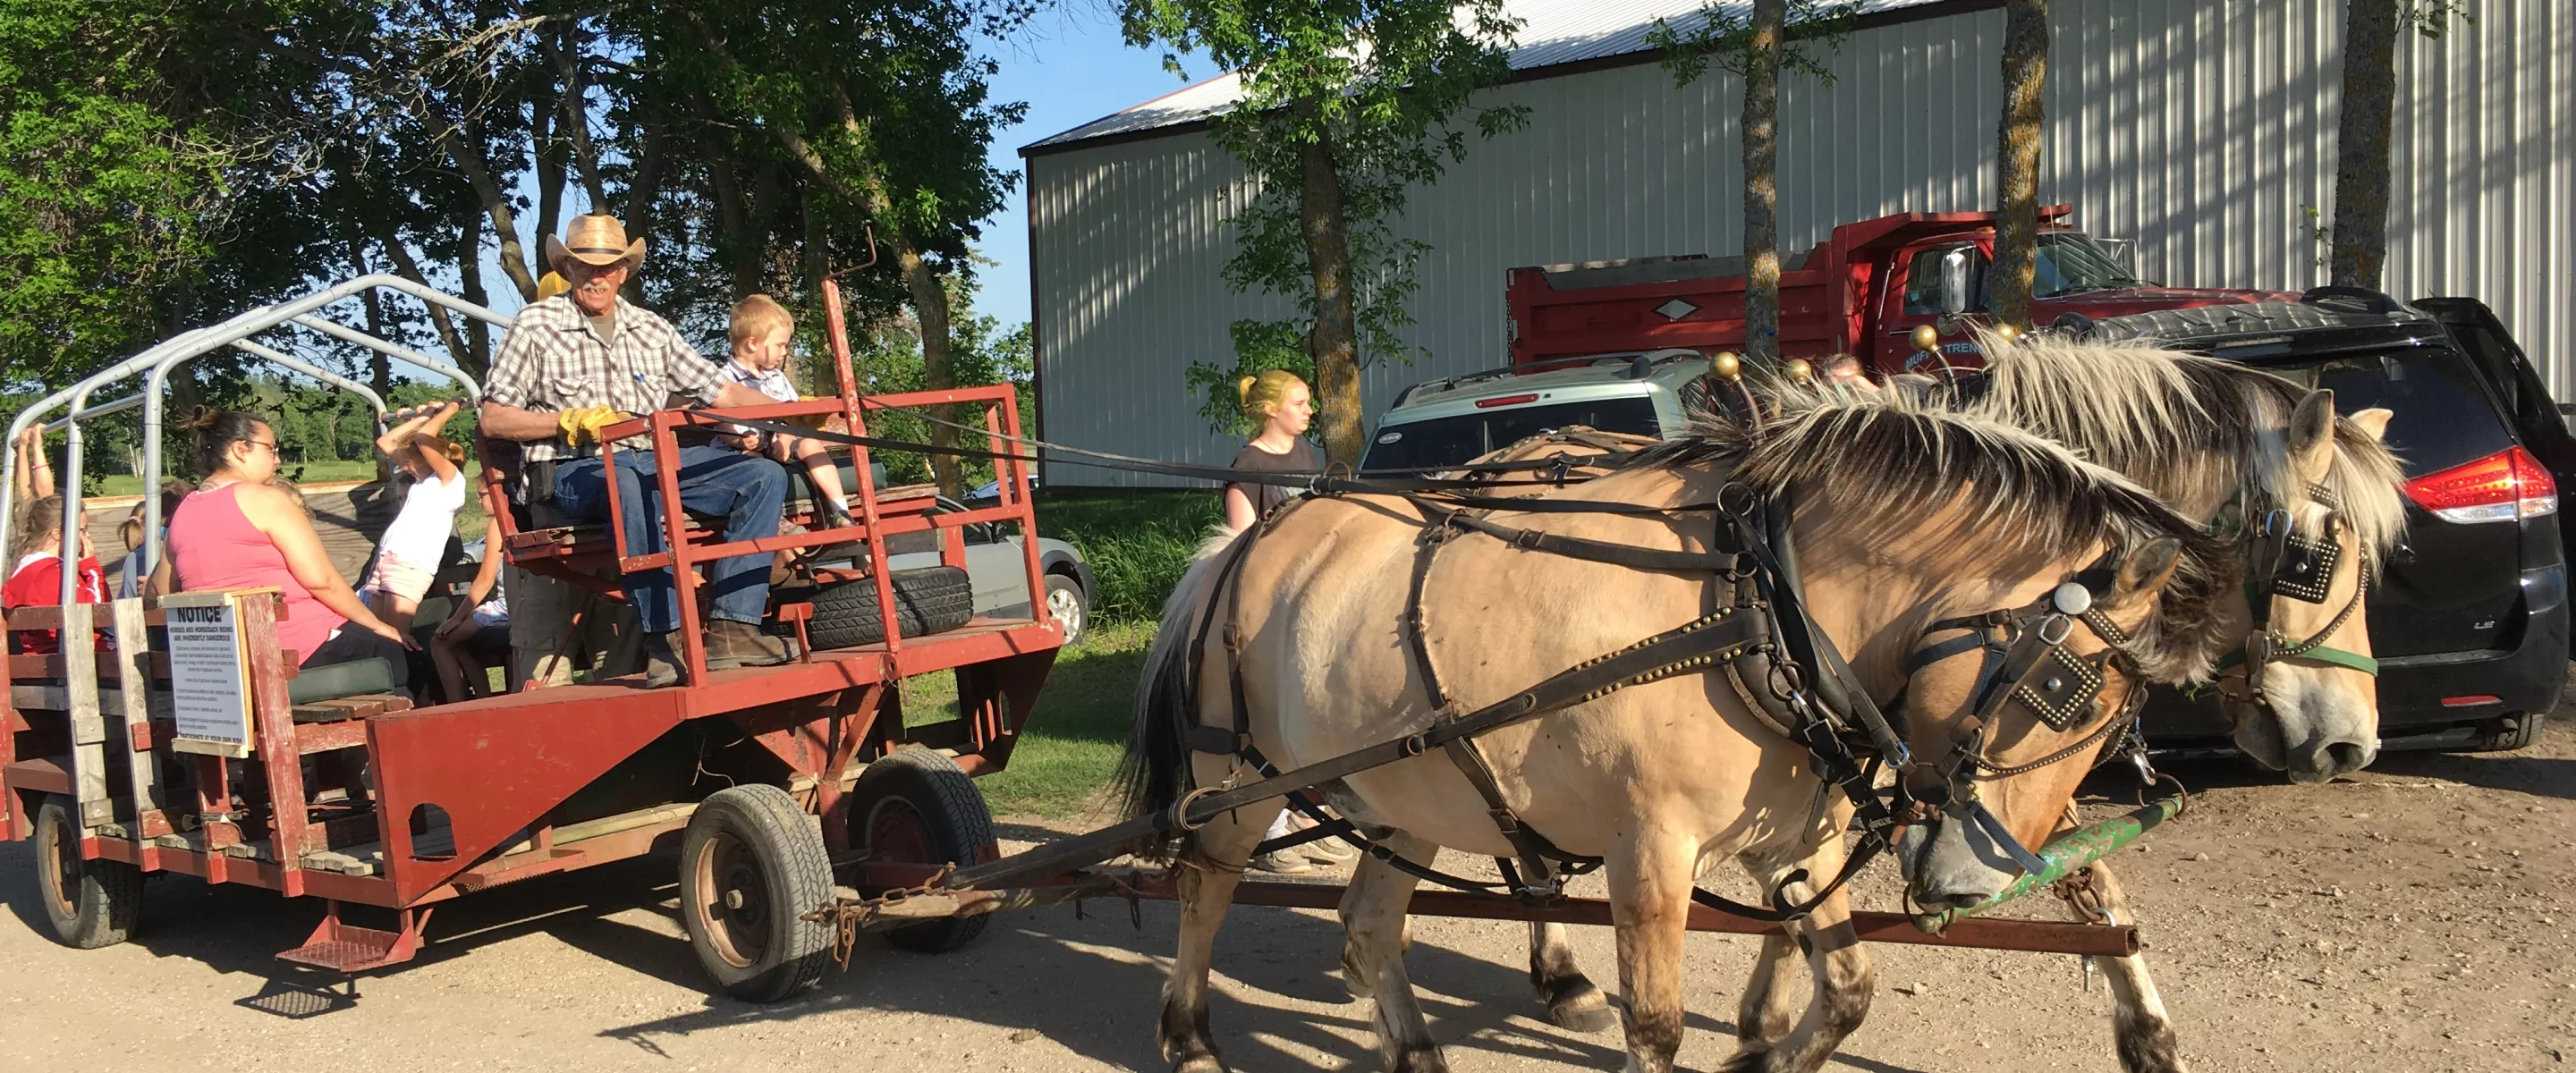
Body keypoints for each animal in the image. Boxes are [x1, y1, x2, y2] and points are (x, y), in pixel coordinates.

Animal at [1128, 396, 2235, 1070]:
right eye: (2063, 689)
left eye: (2113, 732)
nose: (1975, 886)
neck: (1759, 601)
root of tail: (1244, 543)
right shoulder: (1650, 852)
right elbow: (1656, 1026)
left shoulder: (1798, 840)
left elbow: (1849, 989)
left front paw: (1762, 1046)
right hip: (1239, 779)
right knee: (1203, 888)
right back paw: (1188, 1039)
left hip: (1407, 790)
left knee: (1366, 926)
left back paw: (1415, 1047)